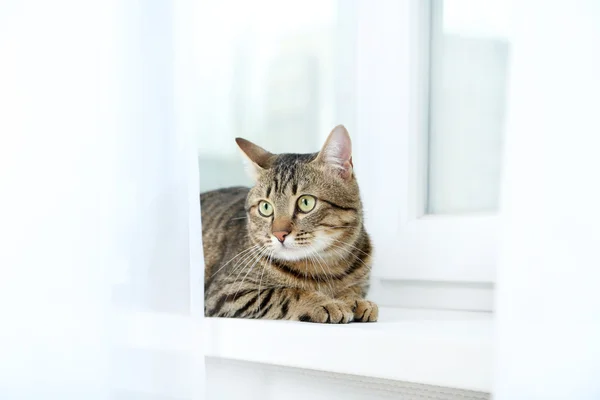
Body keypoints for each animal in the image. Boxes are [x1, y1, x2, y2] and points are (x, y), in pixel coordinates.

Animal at [202, 125, 380, 322]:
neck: (327, 266)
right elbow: (287, 292)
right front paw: (326, 303)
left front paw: (354, 300)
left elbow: (354, 289)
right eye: (265, 207)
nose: (279, 234)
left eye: (306, 202)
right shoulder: (226, 292)